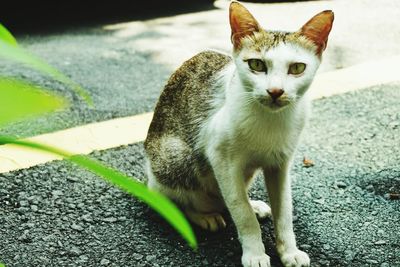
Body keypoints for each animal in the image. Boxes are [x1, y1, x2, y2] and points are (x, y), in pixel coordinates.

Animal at [143, 1, 332, 266]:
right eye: (256, 65)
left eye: (297, 68)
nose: (275, 91)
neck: (270, 120)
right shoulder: (221, 158)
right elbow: (240, 211)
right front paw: (255, 253)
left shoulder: (281, 162)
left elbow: (284, 210)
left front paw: (289, 251)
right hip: (177, 158)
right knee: (170, 195)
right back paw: (204, 215)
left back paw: (252, 205)